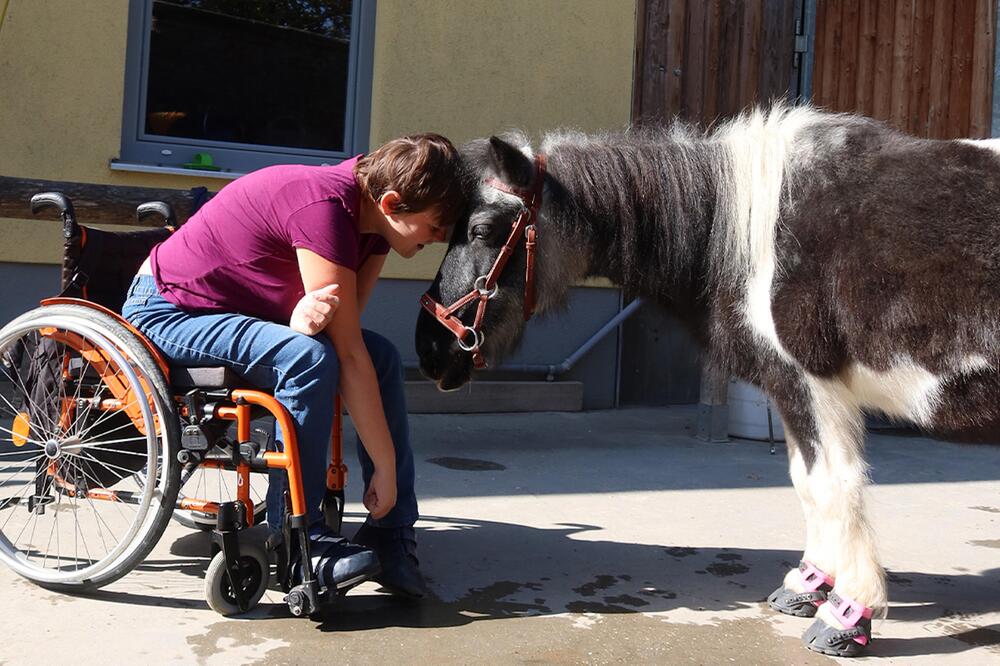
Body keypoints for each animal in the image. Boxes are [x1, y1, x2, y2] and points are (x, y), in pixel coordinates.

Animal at [412, 106, 1000, 656]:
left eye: (482, 230)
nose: (430, 350)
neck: (755, 231)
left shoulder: (812, 384)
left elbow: (834, 485)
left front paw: (848, 613)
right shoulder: (790, 388)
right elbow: (806, 483)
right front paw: (809, 584)